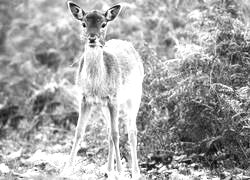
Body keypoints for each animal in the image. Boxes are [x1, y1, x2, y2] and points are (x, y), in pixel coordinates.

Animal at [61, 1, 144, 179]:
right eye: (83, 23)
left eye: (104, 24)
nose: (92, 38)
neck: (96, 85)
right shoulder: (85, 98)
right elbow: (79, 131)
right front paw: (66, 170)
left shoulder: (113, 98)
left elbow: (116, 133)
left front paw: (121, 172)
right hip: (103, 107)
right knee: (108, 131)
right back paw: (108, 170)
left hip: (135, 96)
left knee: (131, 131)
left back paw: (135, 172)